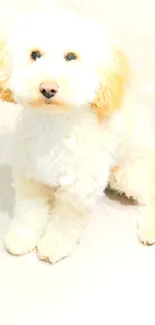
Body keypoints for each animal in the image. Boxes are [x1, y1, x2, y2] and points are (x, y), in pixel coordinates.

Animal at [0, 7, 154, 262]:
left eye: (71, 57)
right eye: (35, 54)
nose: (48, 89)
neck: (54, 124)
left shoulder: (79, 186)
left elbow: (65, 220)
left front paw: (53, 245)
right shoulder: (30, 173)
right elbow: (29, 211)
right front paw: (22, 238)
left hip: (128, 173)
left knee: (151, 192)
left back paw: (149, 228)